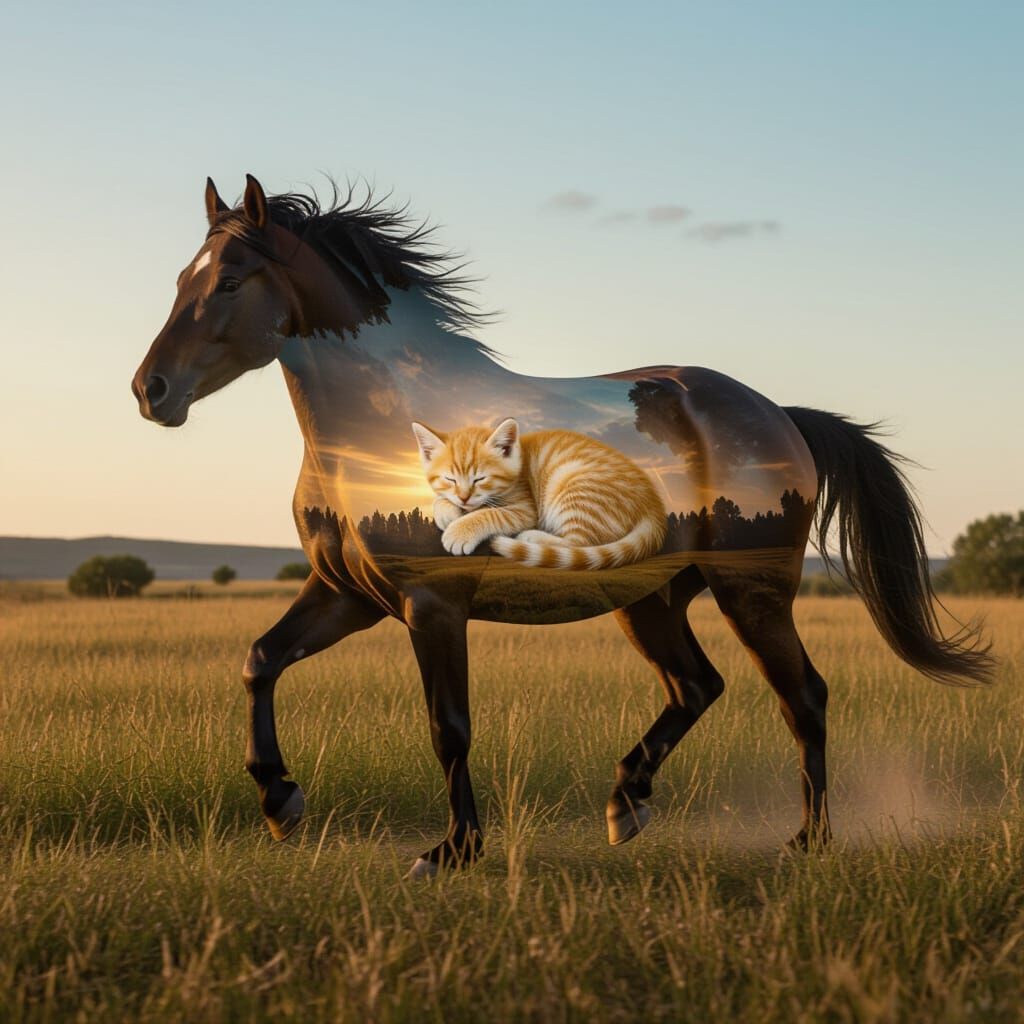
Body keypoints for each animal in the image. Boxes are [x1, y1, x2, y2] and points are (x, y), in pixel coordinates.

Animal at [131, 174, 993, 877]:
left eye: (230, 281)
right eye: (180, 279)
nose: (151, 390)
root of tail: (779, 413)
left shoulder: (432, 606)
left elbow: (448, 725)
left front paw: (451, 851)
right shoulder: (347, 593)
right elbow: (260, 661)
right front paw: (281, 801)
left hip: (752, 589)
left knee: (802, 695)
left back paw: (806, 841)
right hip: (652, 599)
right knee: (698, 684)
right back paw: (626, 803)